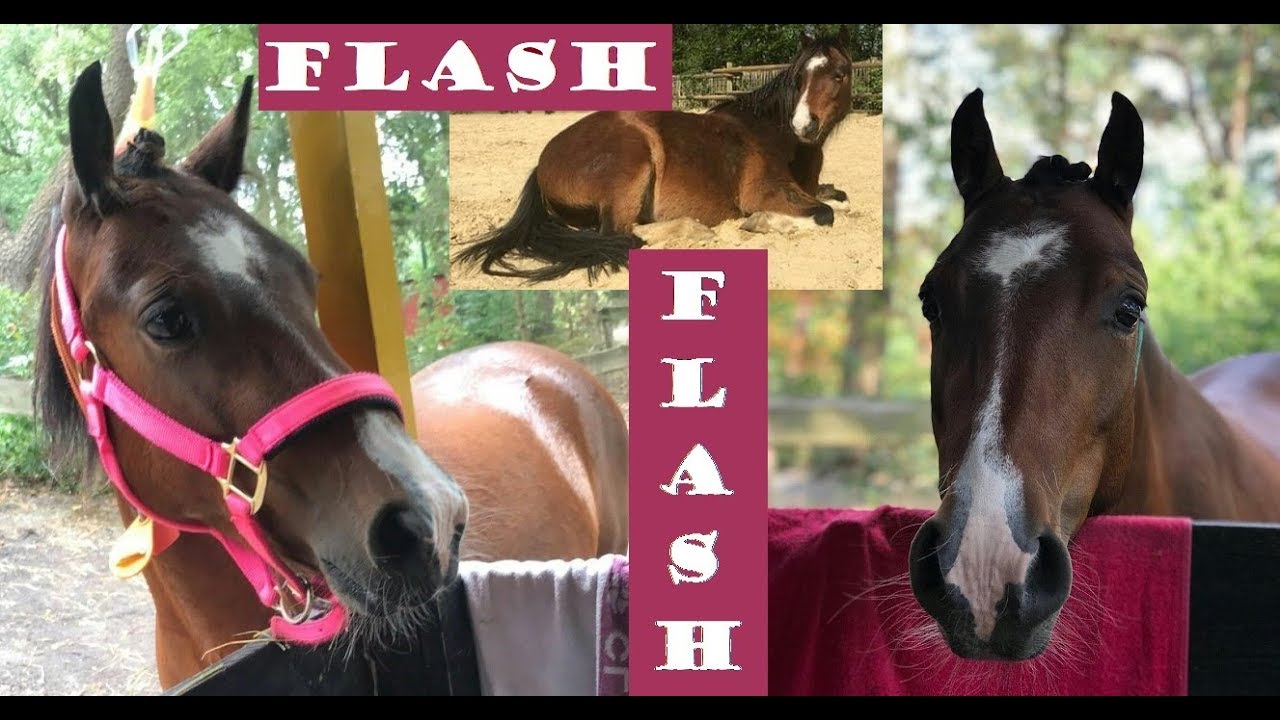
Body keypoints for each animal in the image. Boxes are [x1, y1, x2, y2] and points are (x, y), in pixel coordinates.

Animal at [451, 28, 856, 285]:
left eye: (839, 74)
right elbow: (825, 213)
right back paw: (695, 228)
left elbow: (839, 198)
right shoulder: (765, 192)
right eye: (800, 77)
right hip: (631, 163)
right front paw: (760, 222)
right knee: (622, 234)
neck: (776, 135)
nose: (803, 124)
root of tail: (542, 163)